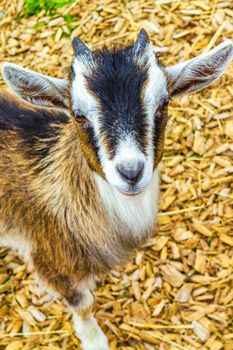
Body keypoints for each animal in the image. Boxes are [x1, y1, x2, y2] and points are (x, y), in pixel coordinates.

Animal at [1, 30, 233, 350]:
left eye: (163, 105)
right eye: (78, 115)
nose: (131, 172)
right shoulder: (49, 258)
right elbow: (82, 304)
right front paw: (95, 341)